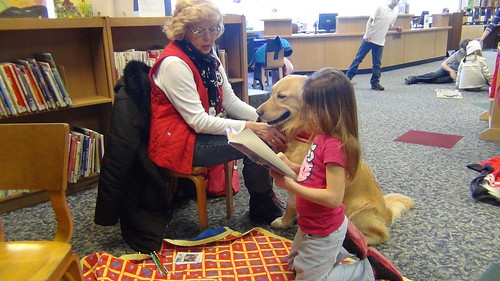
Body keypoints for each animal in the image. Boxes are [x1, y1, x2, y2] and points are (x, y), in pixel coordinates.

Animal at [256, 75, 416, 244]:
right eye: (271, 92)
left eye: (281, 96)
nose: (258, 111)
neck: (304, 133)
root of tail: (386, 211)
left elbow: (291, 204)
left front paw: (287, 223)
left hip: (359, 212)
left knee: (380, 234)